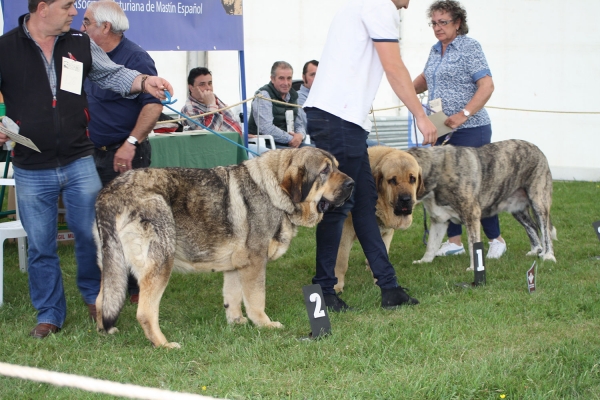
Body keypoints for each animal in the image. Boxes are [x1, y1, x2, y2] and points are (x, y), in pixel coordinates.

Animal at [95, 147, 356, 346]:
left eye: (337, 166)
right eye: (324, 171)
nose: (352, 183)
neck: (273, 189)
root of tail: (110, 193)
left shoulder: (235, 267)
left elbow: (233, 297)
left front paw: (237, 322)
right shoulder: (255, 263)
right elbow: (256, 299)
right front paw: (264, 324)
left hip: (113, 266)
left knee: (102, 301)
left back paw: (105, 331)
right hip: (159, 264)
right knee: (145, 313)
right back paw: (164, 344)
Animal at [332, 147, 422, 294]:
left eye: (412, 179)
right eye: (392, 180)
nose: (406, 199)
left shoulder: (386, 233)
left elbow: (381, 255)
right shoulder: (345, 232)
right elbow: (341, 260)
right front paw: (338, 285)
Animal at [408, 138, 556, 272]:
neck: (436, 171)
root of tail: (537, 149)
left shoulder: (471, 215)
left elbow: (473, 244)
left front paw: (474, 268)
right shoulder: (439, 220)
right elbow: (431, 244)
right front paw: (424, 261)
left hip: (539, 201)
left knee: (545, 231)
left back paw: (548, 255)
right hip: (517, 209)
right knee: (532, 226)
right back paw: (536, 250)